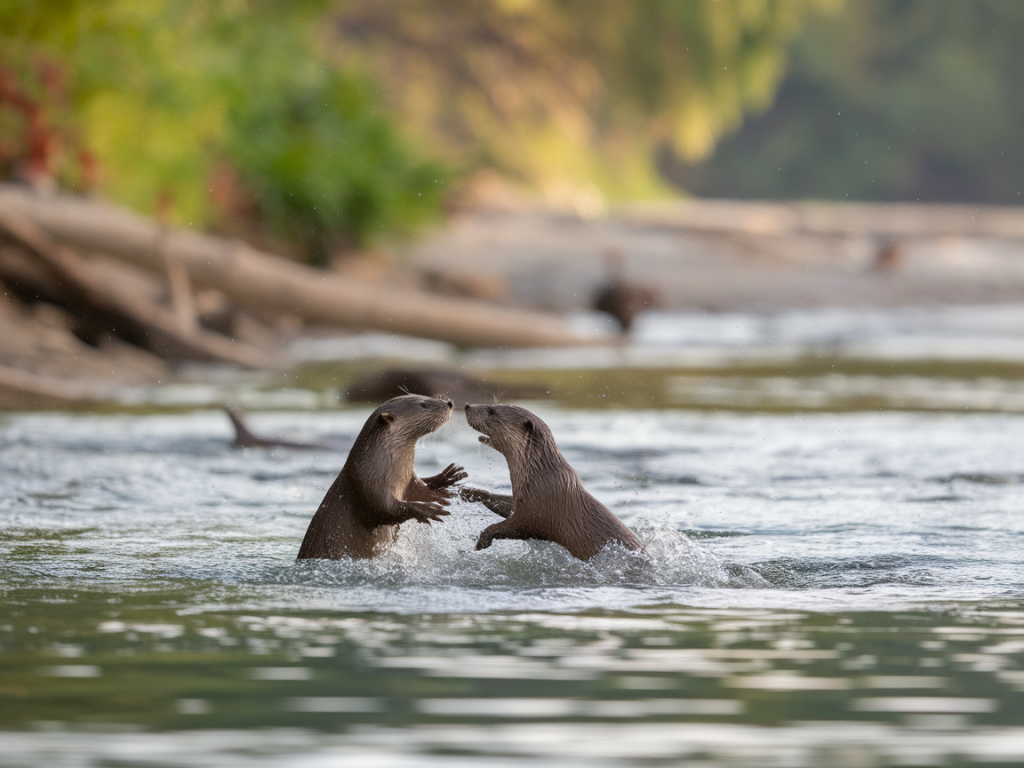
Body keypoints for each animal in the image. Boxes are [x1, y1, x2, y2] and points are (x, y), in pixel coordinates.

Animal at [297, 394, 465, 560]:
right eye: (423, 404)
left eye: (425, 396)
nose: (449, 403)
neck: (376, 466)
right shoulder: (366, 485)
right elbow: (385, 509)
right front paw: (426, 509)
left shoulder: (407, 480)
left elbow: (420, 489)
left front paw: (446, 480)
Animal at [464, 403, 641, 561]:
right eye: (493, 404)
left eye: (492, 411)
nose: (467, 406)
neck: (542, 477)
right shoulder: (526, 498)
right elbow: (503, 503)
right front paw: (468, 492)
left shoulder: (537, 511)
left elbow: (513, 527)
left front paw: (483, 540)